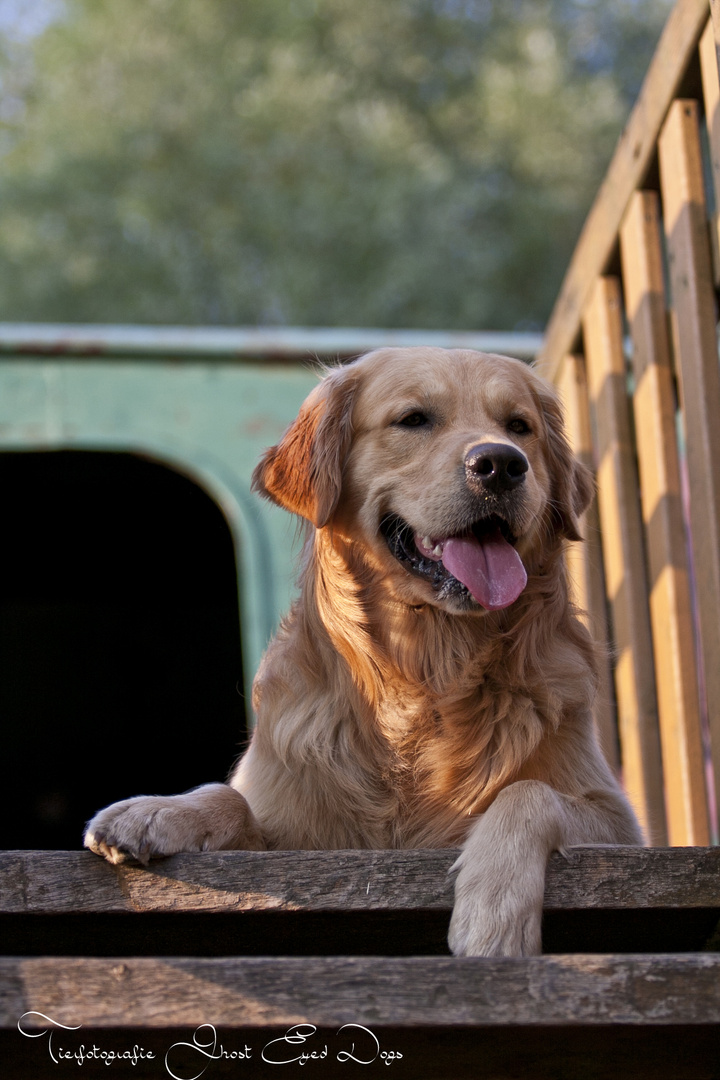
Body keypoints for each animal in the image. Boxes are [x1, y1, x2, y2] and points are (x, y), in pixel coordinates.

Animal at [84, 345, 643, 954]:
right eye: (414, 419)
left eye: (519, 427)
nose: (501, 464)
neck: (428, 673)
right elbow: (231, 798)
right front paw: (154, 810)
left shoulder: (620, 820)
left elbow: (528, 792)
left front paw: (493, 909)